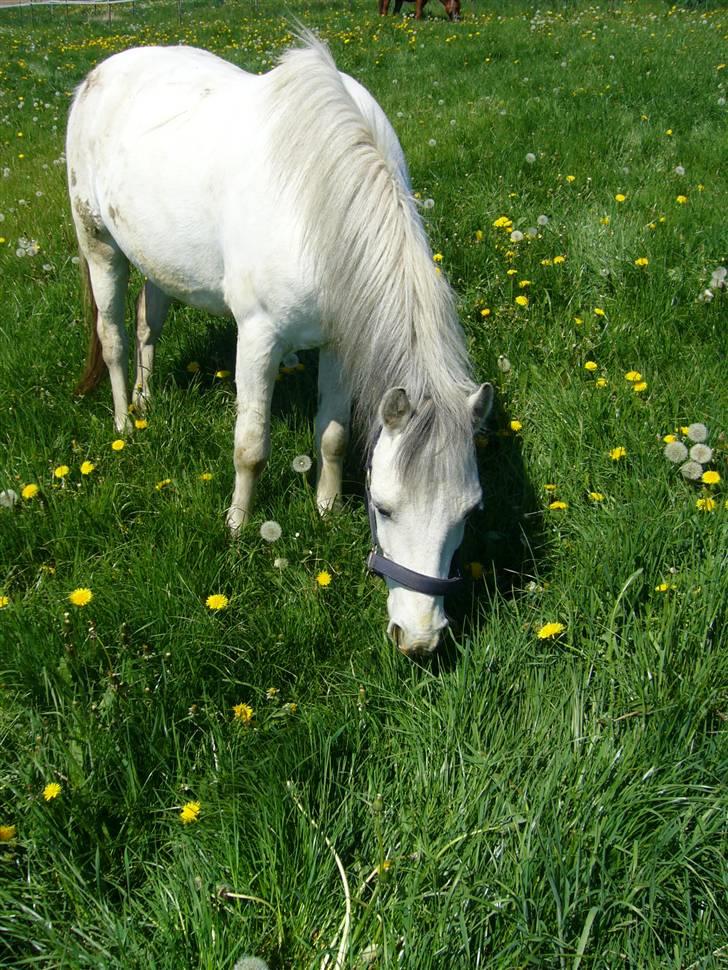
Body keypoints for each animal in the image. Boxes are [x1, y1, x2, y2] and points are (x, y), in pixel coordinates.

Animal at [67, 36, 491, 657]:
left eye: (468, 511)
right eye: (384, 507)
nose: (417, 638)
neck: (322, 195)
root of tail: (101, 70)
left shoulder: (338, 340)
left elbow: (333, 436)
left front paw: (324, 509)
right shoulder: (258, 335)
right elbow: (251, 447)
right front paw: (238, 526)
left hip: (157, 260)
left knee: (148, 324)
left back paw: (146, 401)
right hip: (99, 243)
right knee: (115, 336)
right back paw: (125, 422)